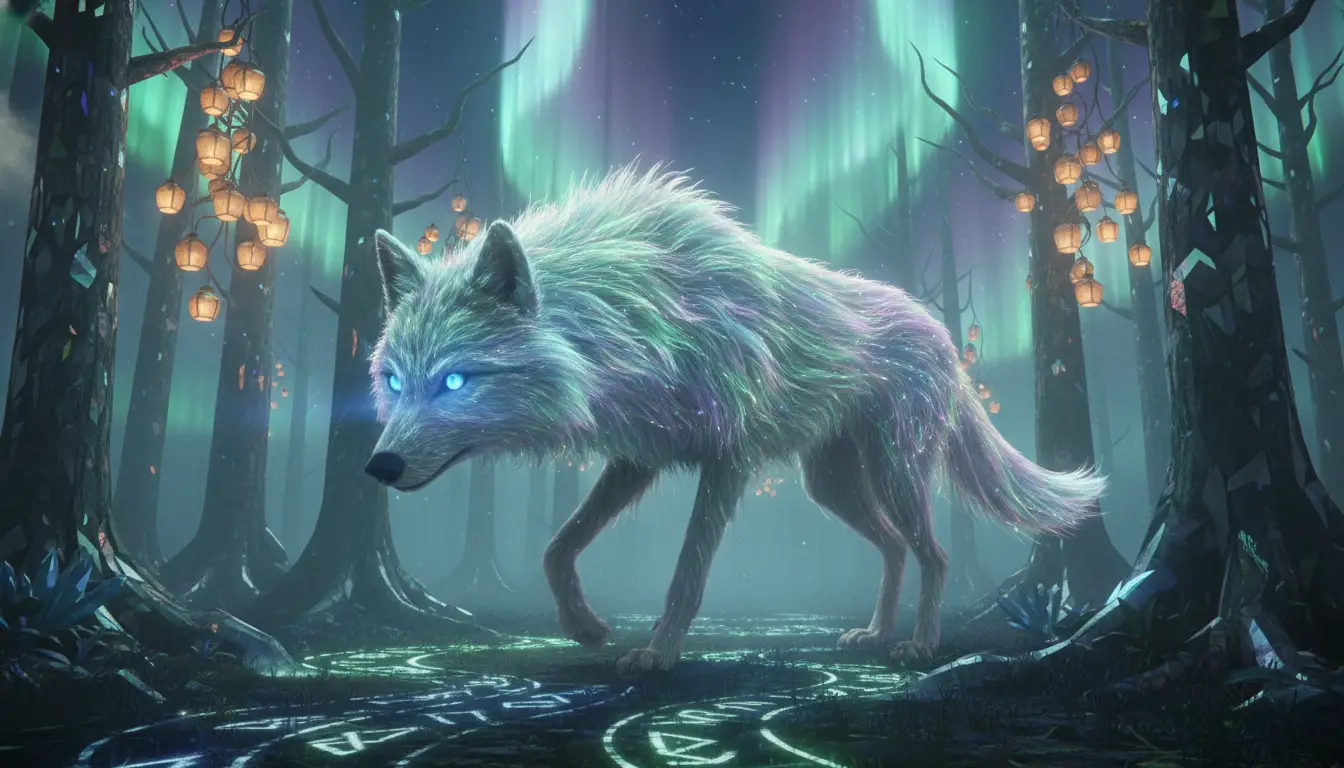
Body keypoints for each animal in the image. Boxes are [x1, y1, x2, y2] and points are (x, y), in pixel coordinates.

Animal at [364, 165, 1103, 672]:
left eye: (454, 380)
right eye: (395, 381)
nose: (378, 465)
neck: (633, 313)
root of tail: (942, 334)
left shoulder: (727, 461)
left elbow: (687, 574)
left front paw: (658, 654)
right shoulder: (640, 456)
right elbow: (557, 547)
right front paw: (586, 629)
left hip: (895, 473)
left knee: (935, 553)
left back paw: (918, 644)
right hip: (829, 486)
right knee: (895, 546)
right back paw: (875, 634)